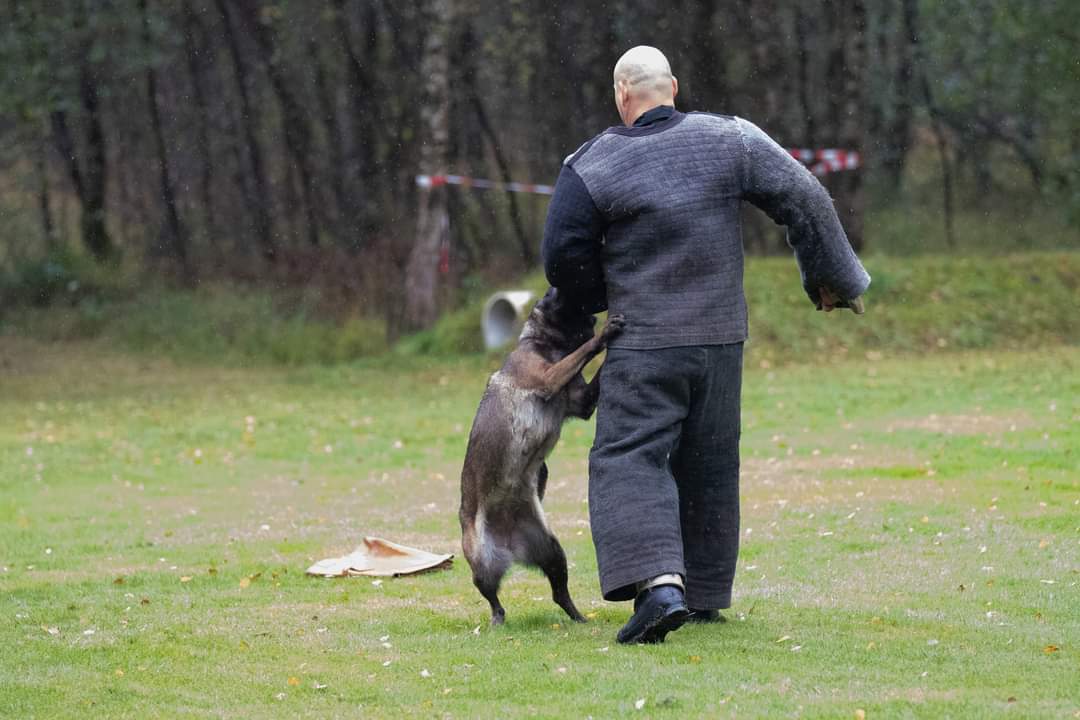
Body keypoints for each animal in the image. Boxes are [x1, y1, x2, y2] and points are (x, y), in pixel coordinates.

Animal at [459, 287, 623, 625]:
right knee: (493, 597)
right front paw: (604, 335)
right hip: (481, 563)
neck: (546, 346)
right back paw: (497, 619)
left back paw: (579, 618)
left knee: (559, 593)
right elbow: (583, 351)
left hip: (552, 551)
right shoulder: (548, 377)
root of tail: (509, 545)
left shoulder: (583, 402)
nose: (595, 315)